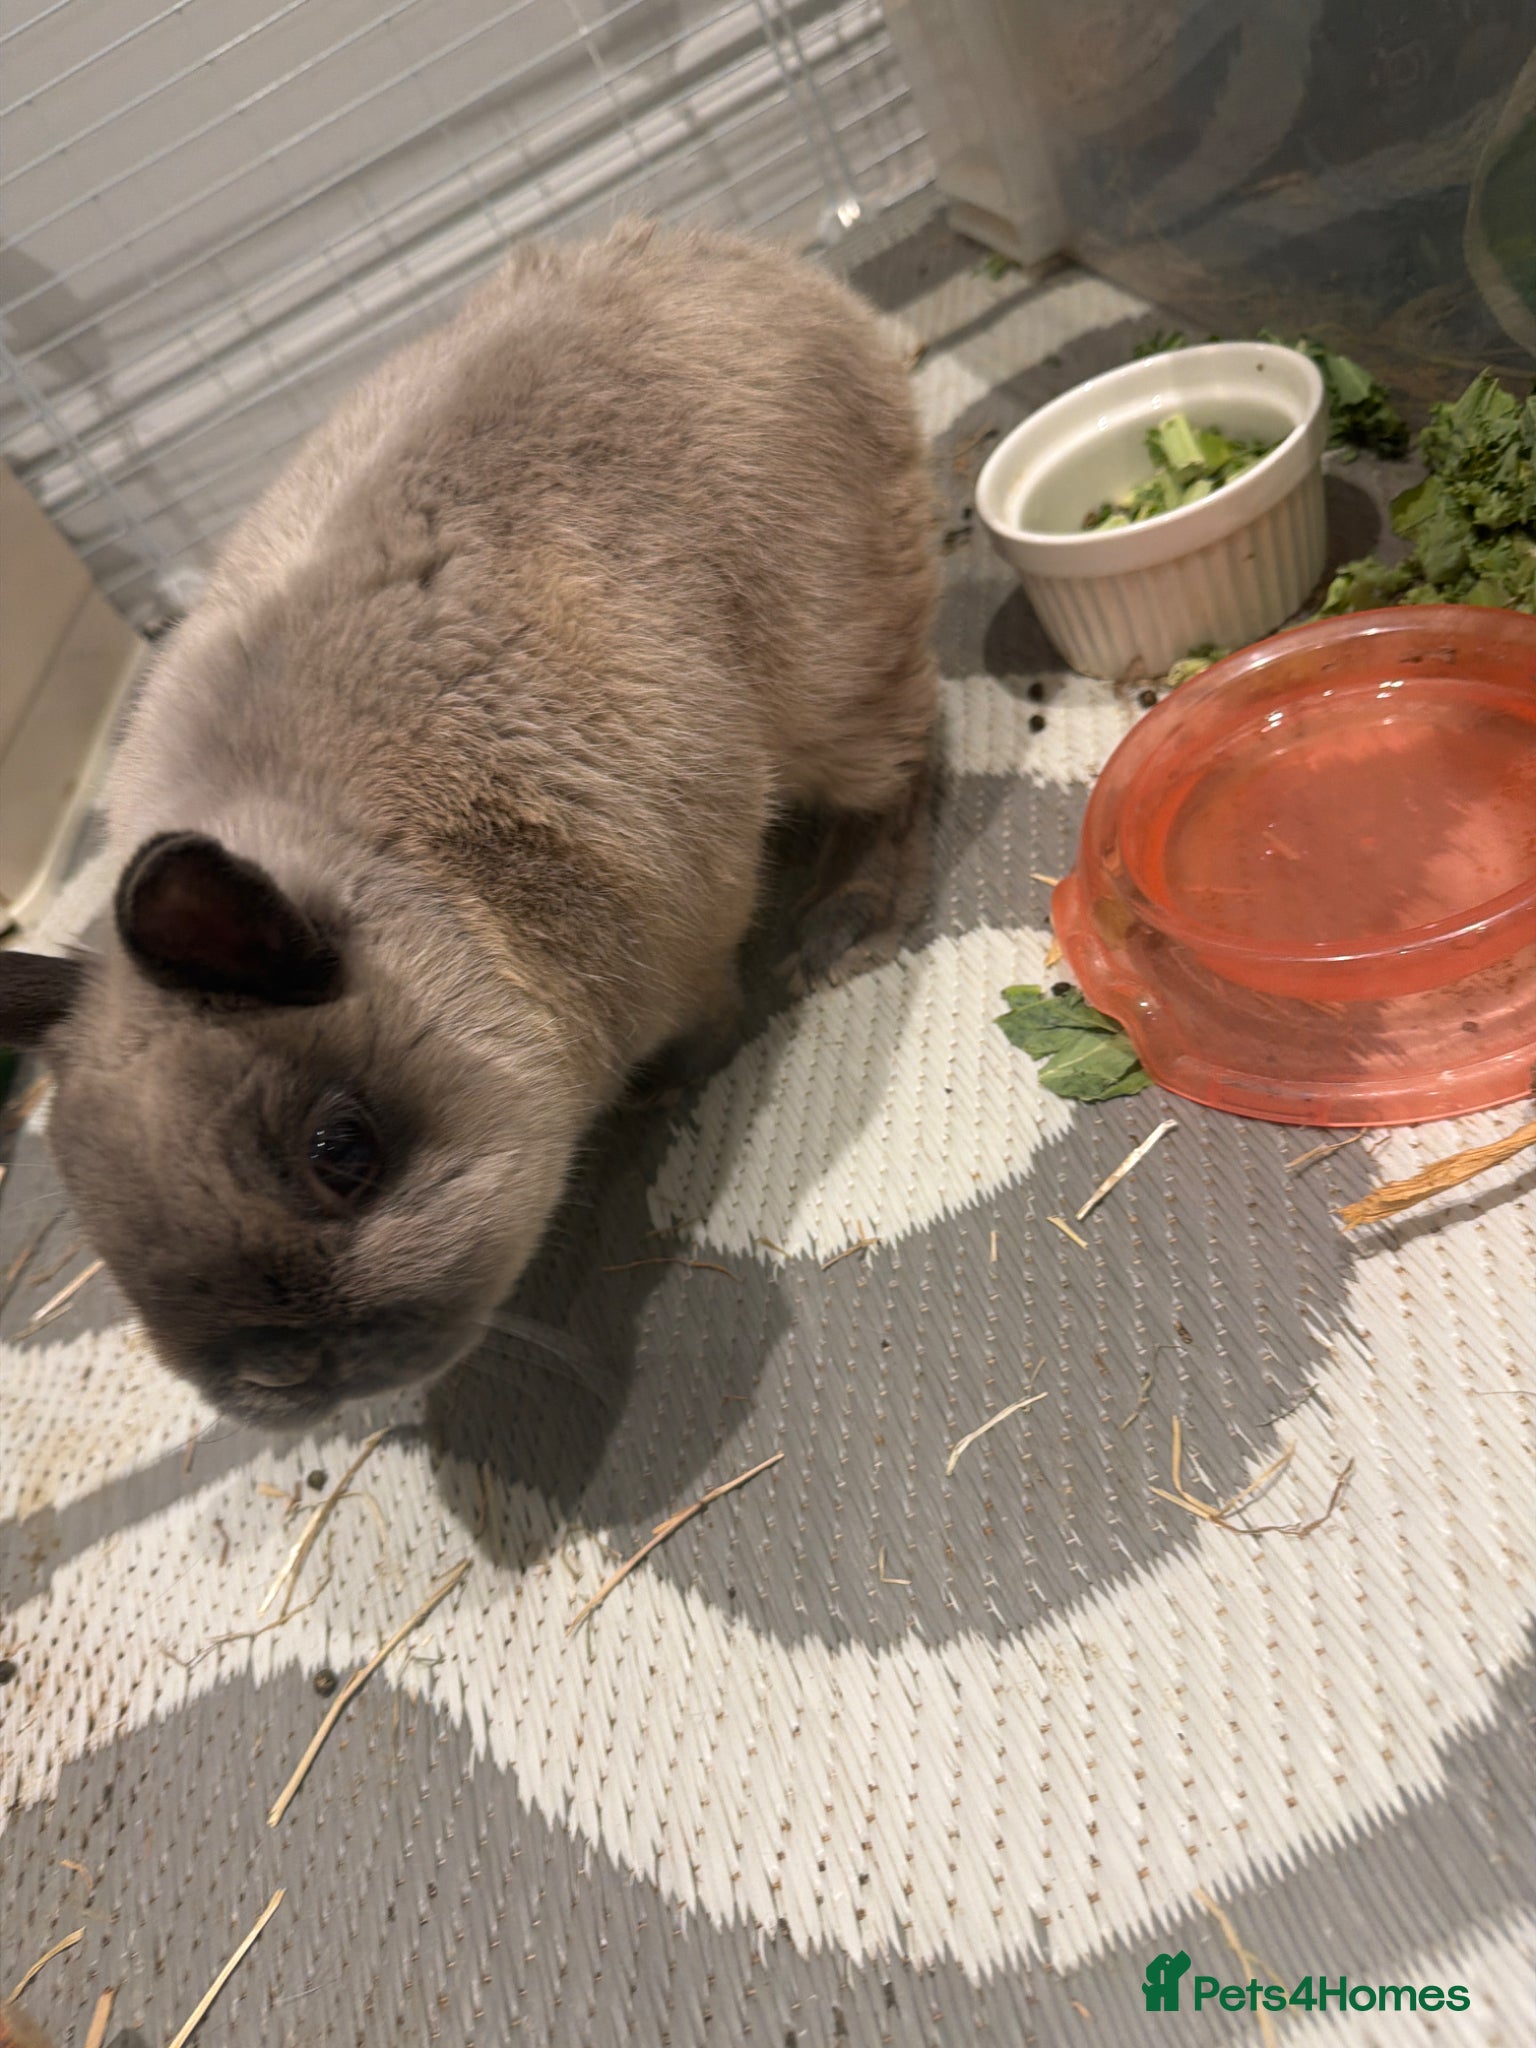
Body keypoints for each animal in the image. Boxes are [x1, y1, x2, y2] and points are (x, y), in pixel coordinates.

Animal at [0, 218, 938, 1426]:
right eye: (98, 1218)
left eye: (342, 1150)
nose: (277, 1377)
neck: (436, 887)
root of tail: (761, 265)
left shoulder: (681, 930)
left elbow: (709, 1008)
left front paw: (678, 1079)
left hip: (840, 673)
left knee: (906, 758)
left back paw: (847, 926)